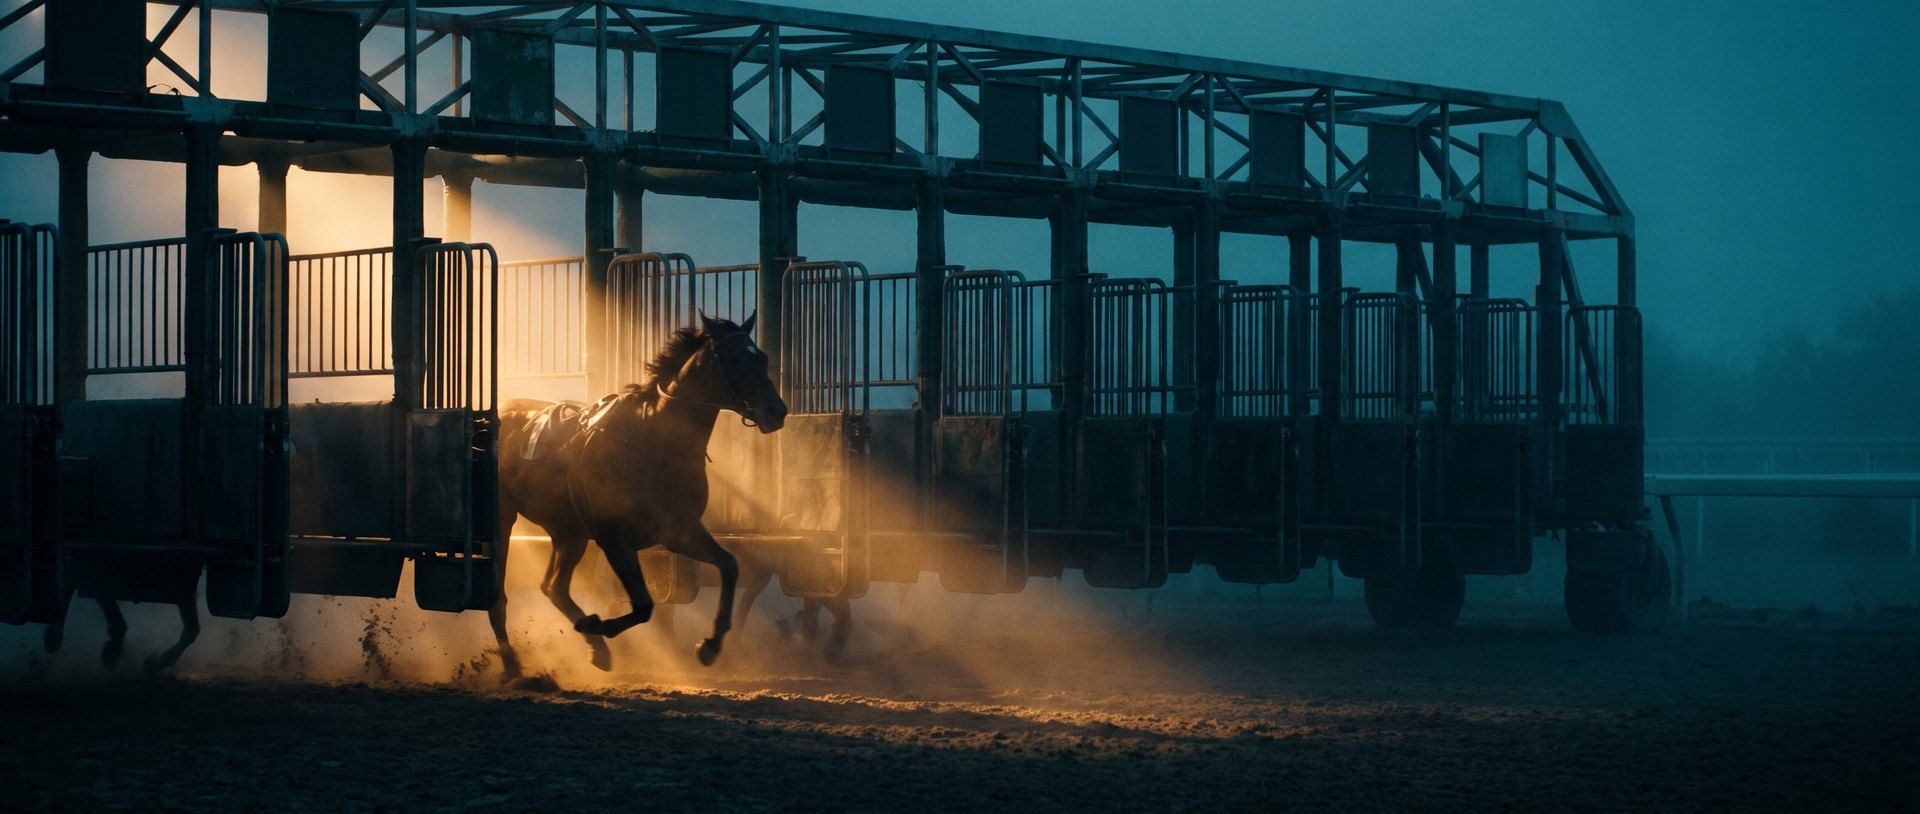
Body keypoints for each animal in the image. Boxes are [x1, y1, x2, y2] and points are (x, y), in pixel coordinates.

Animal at [493, 314, 787, 676]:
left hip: (567, 532)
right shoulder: (615, 539)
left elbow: (730, 566)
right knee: (500, 597)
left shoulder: (679, 532)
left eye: (761, 358)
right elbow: (645, 605)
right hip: (503, 521)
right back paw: (513, 666)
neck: (652, 443)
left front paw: (710, 645)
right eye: (733, 359)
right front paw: (599, 624)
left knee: (554, 587)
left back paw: (596, 649)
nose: (776, 411)